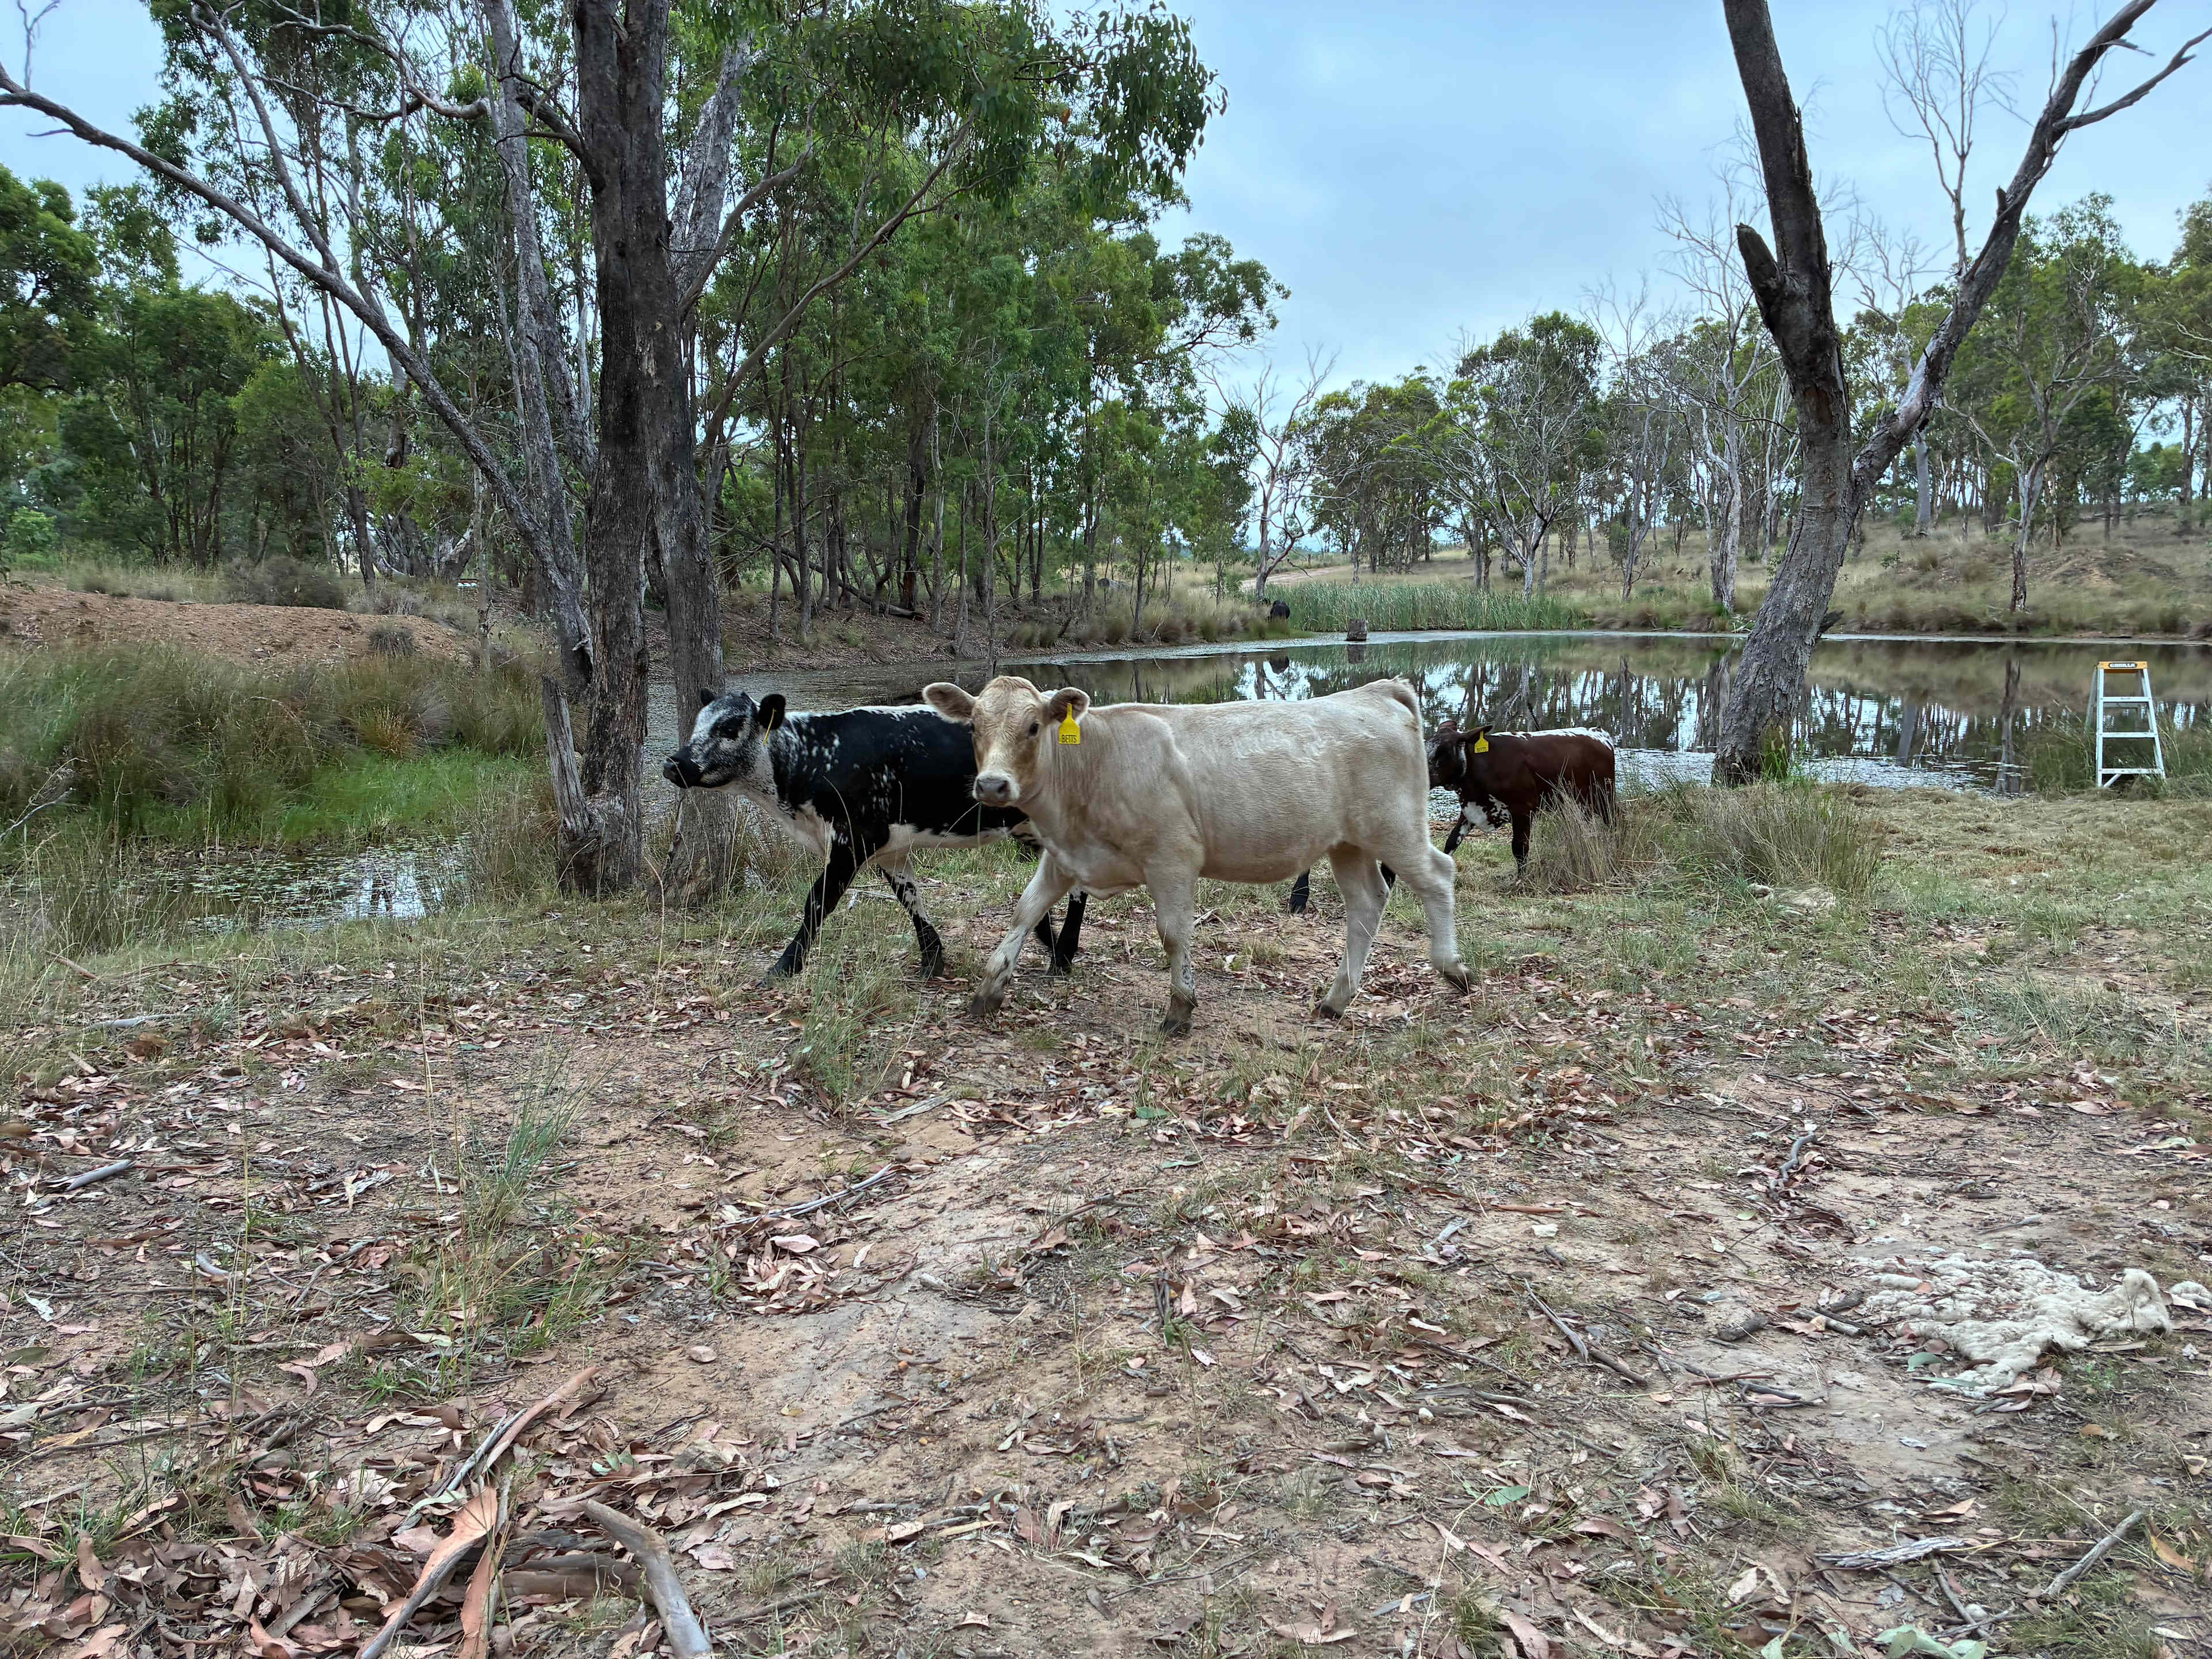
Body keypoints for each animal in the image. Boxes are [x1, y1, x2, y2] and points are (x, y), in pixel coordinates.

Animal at [663, 691, 1087, 982]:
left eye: (730, 728)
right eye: (698, 723)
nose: (674, 763)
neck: (813, 756)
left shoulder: (855, 838)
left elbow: (816, 902)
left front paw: (785, 966)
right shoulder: (888, 849)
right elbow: (910, 899)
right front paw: (932, 960)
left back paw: (1064, 952)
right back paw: (1052, 945)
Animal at [921, 675, 1469, 1035]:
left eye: (1034, 726)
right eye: (973, 726)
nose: (993, 785)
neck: (1094, 762)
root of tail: (1377, 690)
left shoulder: (1172, 858)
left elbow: (1172, 933)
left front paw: (1180, 1007)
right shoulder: (1064, 859)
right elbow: (1024, 911)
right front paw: (988, 991)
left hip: (1394, 826)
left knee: (1438, 875)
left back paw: (1452, 968)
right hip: (1347, 842)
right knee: (1367, 902)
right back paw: (1336, 1000)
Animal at [1425, 720, 1616, 868]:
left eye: (1443, 752)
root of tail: (1599, 734)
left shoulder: (1523, 811)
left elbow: (1520, 849)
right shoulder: (1469, 810)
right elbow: (1451, 842)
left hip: (1604, 798)